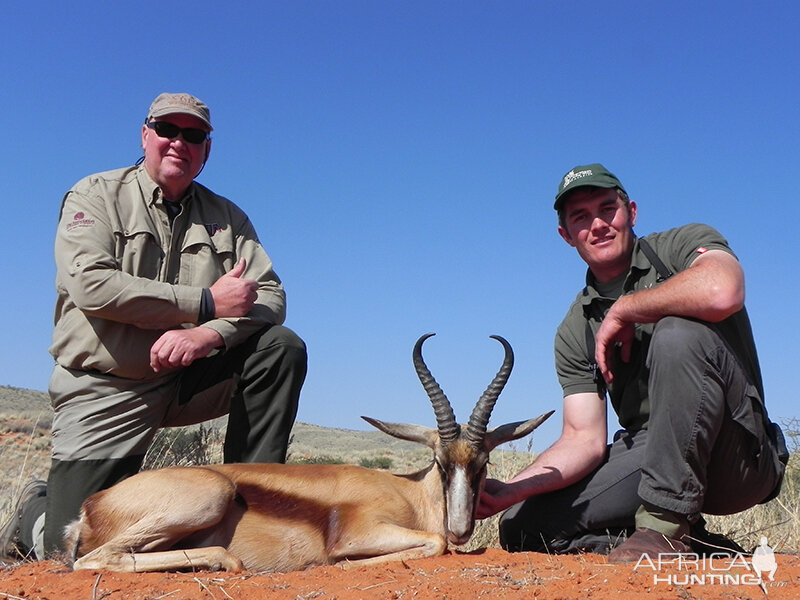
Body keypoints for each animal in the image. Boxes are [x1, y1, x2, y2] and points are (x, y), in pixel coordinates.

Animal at [65, 336, 552, 576]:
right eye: (440, 462)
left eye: (483, 464)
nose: (461, 529)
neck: (411, 494)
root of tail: (91, 506)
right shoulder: (360, 533)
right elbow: (431, 544)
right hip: (205, 500)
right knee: (91, 561)